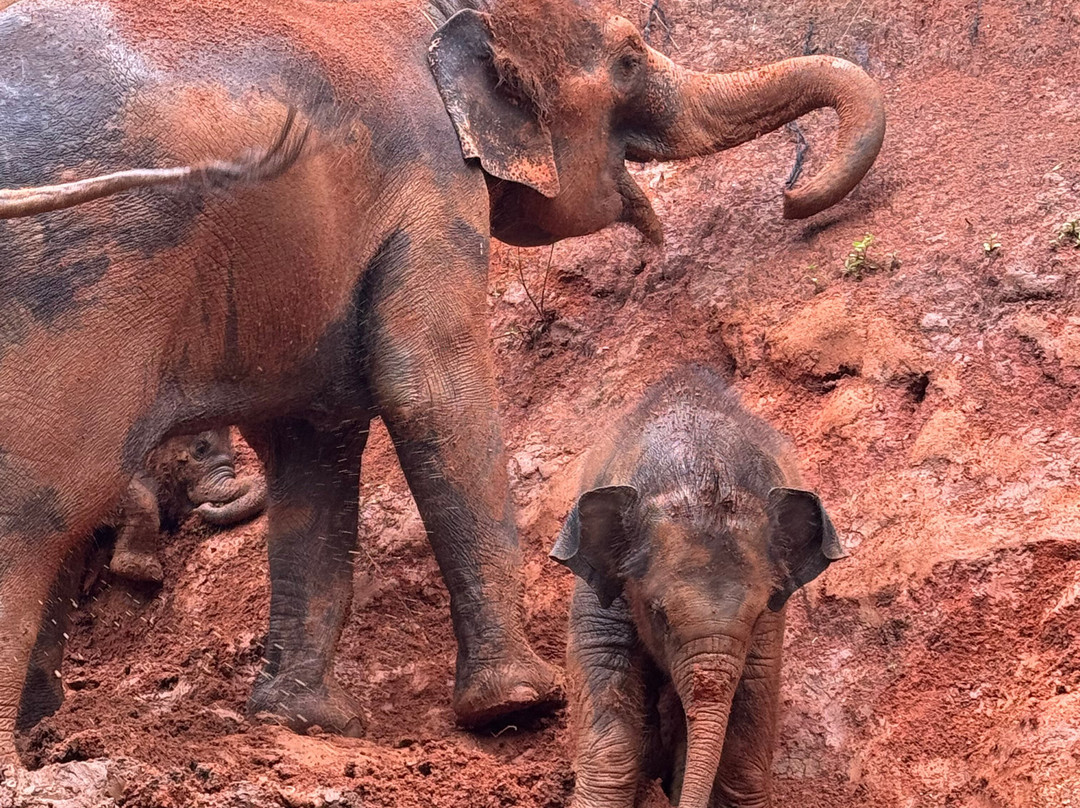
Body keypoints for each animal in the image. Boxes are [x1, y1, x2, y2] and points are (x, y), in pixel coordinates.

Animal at [551, 365, 845, 808]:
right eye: (658, 614)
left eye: (756, 617)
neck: (696, 471)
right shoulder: (599, 594)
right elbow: (603, 668)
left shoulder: (770, 621)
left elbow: (752, 695)